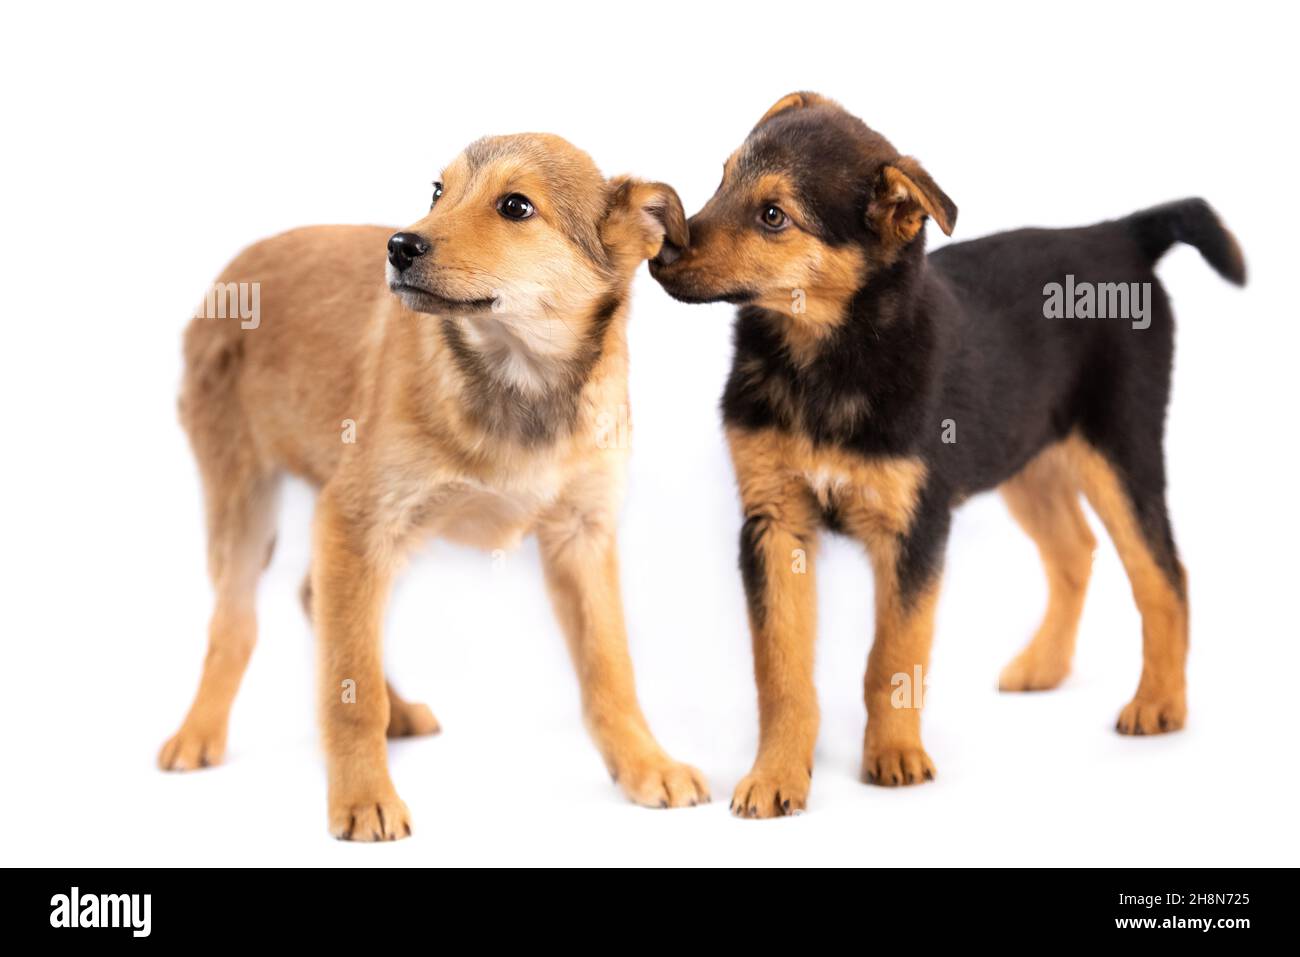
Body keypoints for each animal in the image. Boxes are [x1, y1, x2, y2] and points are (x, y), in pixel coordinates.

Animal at [165, 132, 712, 837]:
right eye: (437, 192)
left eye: (515, 205)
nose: (399, 246)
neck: (518, 380)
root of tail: (231, 271)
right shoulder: (357, 515)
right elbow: (349, 688)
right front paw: (362, 795)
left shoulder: (583, 534)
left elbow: (610, 668)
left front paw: (646, 765)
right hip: (245, 500)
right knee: (236, 625)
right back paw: (199, 733)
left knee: (318, 598)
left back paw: (395, 709)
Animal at [655, 93, 1242, 816]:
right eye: (723, 178)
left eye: (773, 216)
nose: (658, 251)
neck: (824, 361)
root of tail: (1121, 235)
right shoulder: (774, 522)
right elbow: (781, 666)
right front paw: (776, 774)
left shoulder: (917, 524)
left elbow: (893, 654)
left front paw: (894, 755)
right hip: (1028, 455)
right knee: (1075, 550)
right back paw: (1044, 665)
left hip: (1123, 448)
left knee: (1165, 575)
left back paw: (1159, 703)